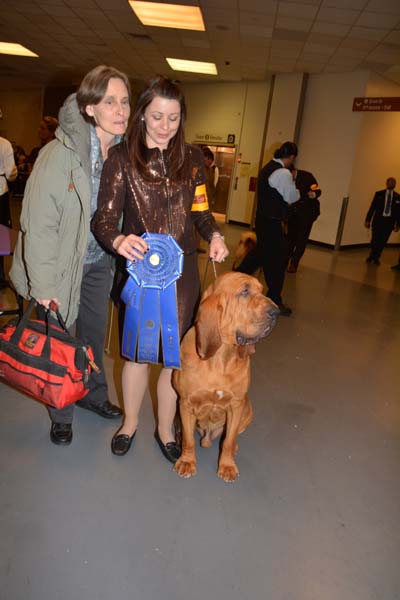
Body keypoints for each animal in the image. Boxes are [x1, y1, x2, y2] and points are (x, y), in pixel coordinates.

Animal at [173, 272, 280, 482]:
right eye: (244, 291)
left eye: (261, 290)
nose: (276, 312)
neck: (220, 358)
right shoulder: (186, 403)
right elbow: (189, 440)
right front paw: (187, 462)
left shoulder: (236, 405)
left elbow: (228, 441)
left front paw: (227, 466)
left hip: (248, 410)